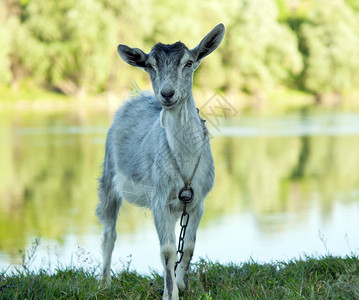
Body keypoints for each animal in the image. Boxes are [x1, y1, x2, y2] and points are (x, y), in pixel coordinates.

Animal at [95, 22, 225, 298]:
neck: (185, 161)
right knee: (109, 233)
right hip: (108, 177)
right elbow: (167, 250)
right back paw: (104, 282)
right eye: (150, 65)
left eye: (189, 62)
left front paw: (183, 284)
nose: (167, 93)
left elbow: (188, 245)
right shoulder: (158, 199)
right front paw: (170, 293)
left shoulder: (198, 200)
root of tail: (137, 96)